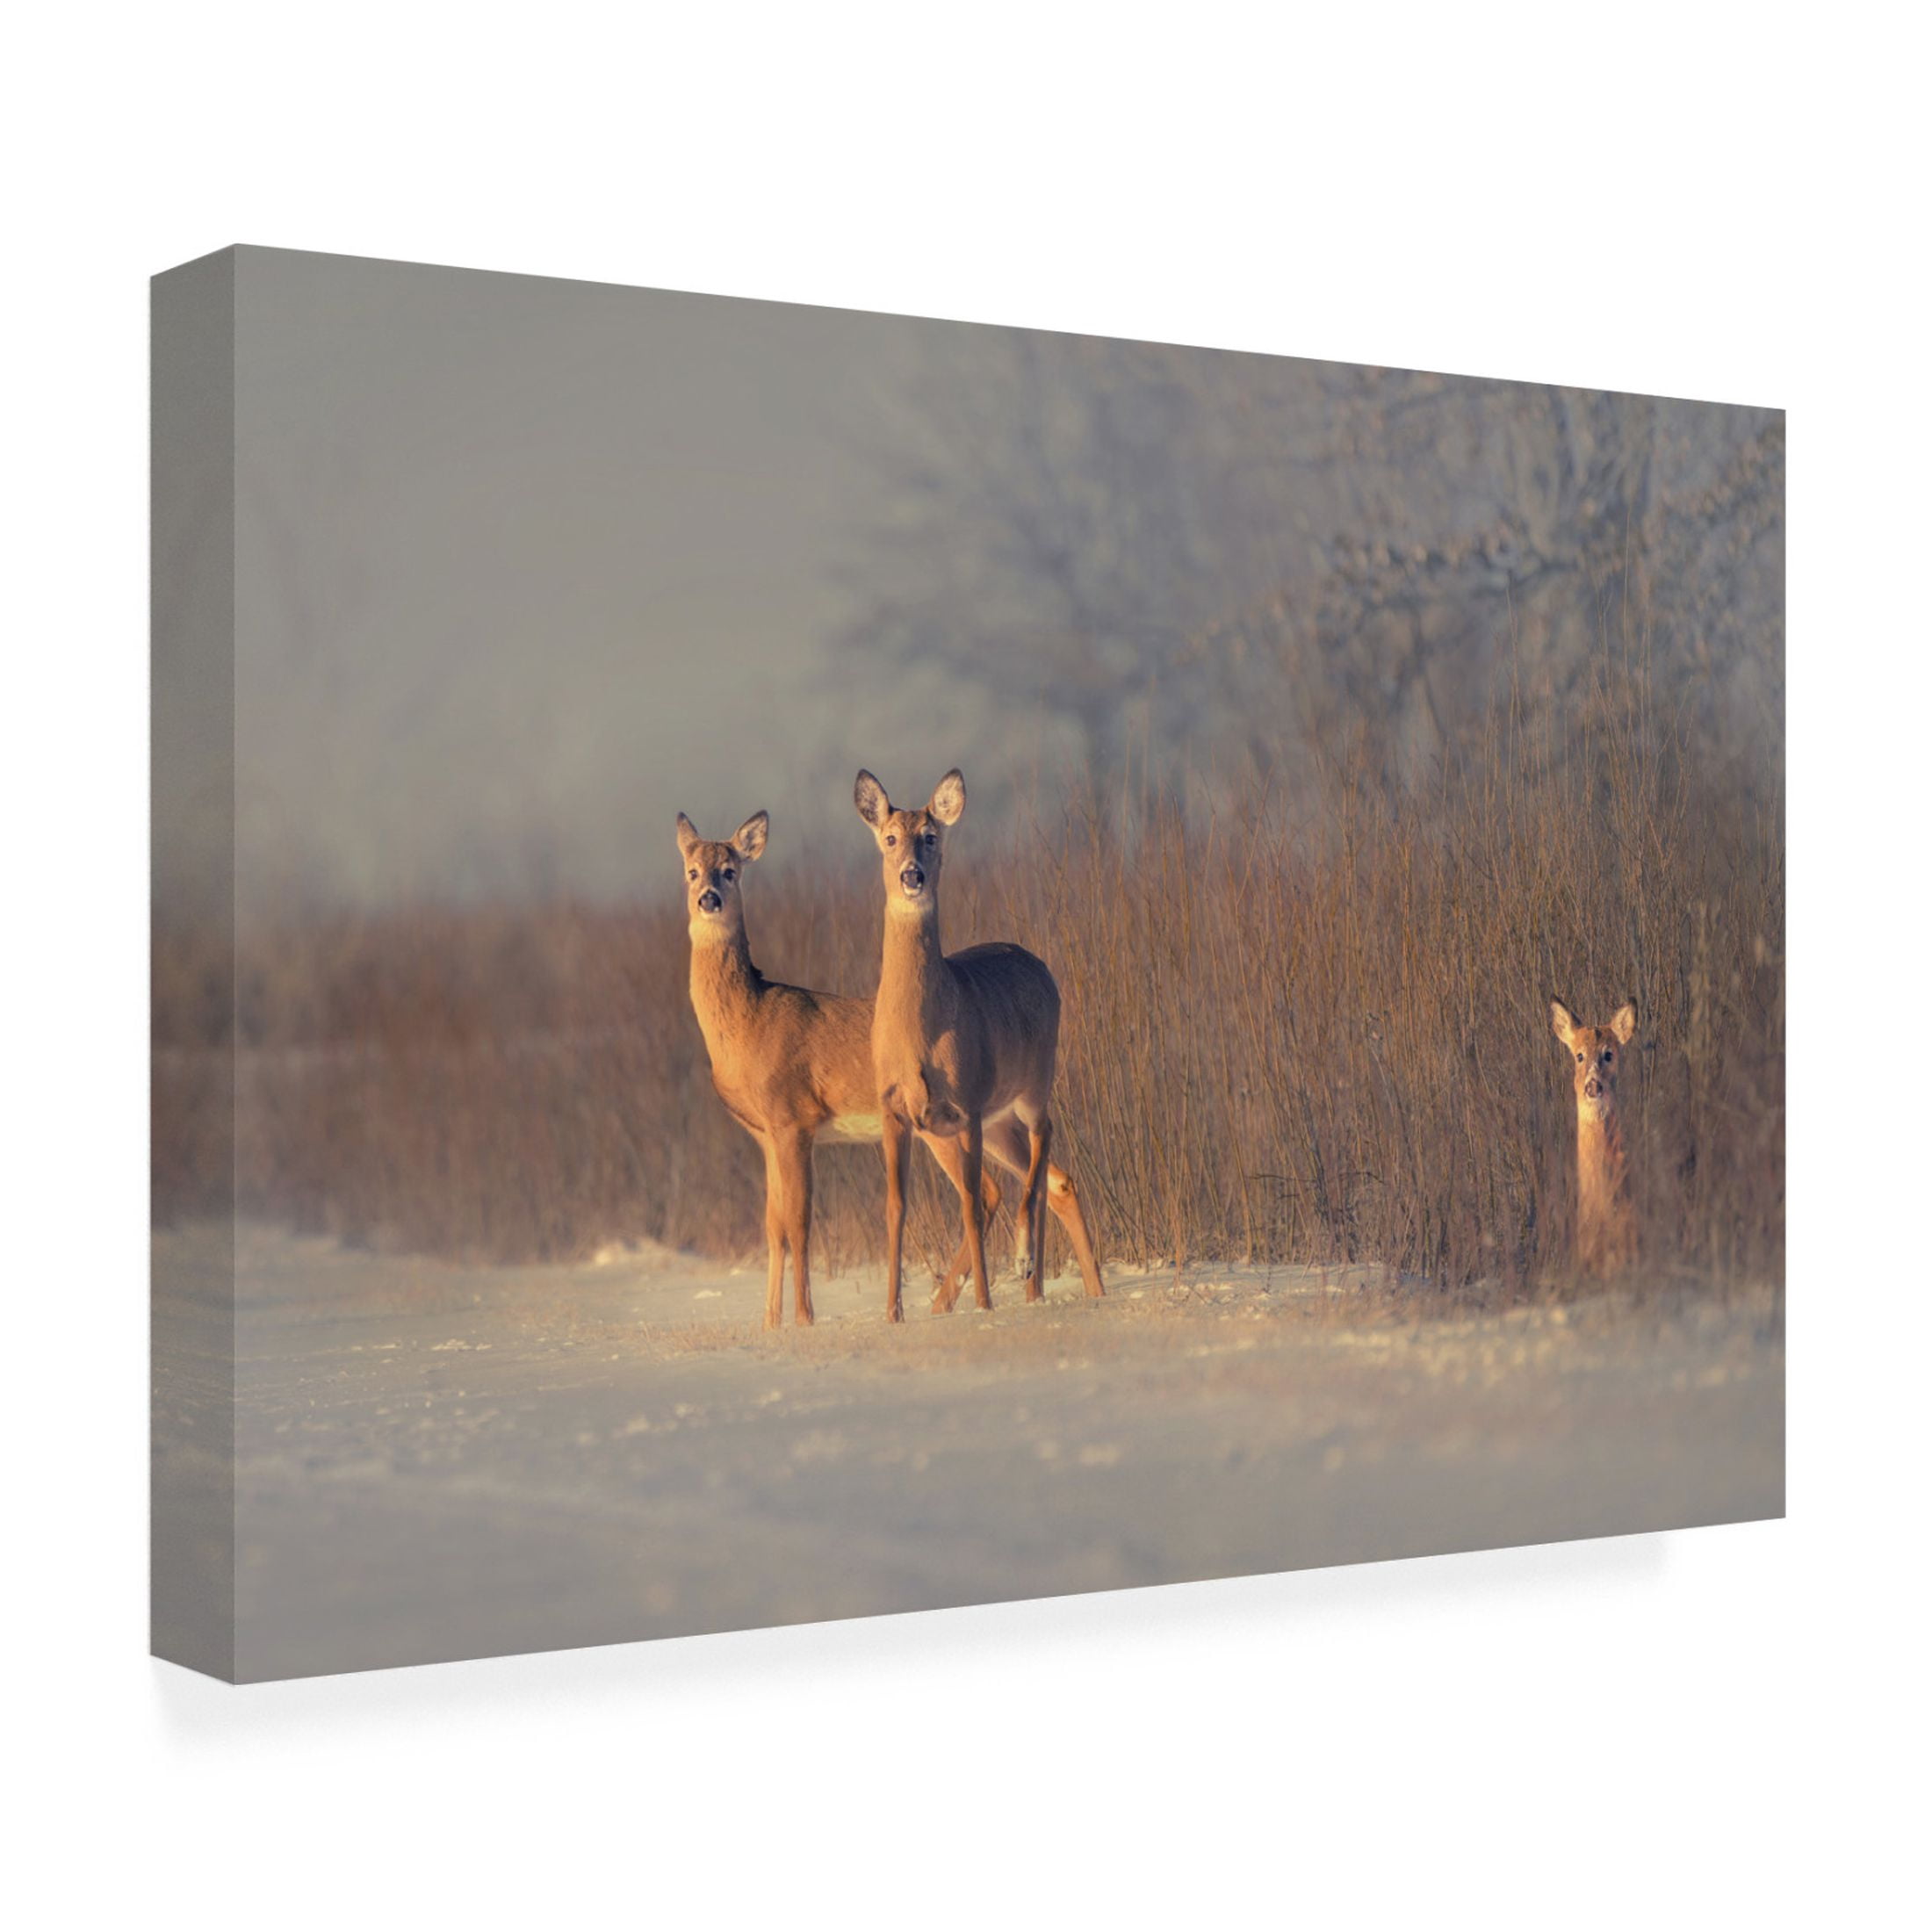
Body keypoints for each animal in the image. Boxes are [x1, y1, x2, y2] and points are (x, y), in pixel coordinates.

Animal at [677, 809, 1002, 1329]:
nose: (710, 898)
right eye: (691, 871)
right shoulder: (765, 1134)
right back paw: (944, 1302)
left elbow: (799, 1221)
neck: (749, 1024)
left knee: (989, 1189)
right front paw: (769, 1324)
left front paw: (804, 1318)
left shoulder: (794, 1119)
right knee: (997, 1187)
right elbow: (772, 1226)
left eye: (730, 870)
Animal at [853, 768, 1105, 1323]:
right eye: (890, 837)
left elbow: (968, 1203)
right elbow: (895, 1208)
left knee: (1042, 1145)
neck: (919, 1033)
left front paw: (987, 1303)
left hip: (1031, 1083)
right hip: (996, 1122)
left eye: (931, 836)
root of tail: (1039, 964)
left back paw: (1026, 1265)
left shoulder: (965, 1103)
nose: (912, 876)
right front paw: (892, 1314)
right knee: (1054, 1178)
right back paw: (1065, 1290)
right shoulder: (895, 1108)